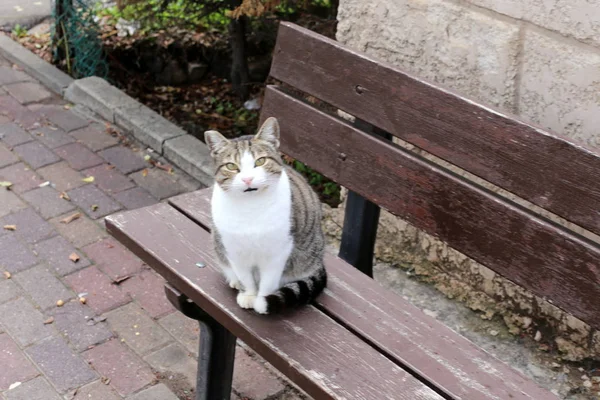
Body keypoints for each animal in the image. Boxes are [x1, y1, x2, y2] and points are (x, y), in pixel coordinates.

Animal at [205, 117, 328, 314]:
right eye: (231, 166)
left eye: (260, 161)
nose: (247, 179)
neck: (251, 208)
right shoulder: (234, 250)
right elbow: (246, 278)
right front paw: (249, 294)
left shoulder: (278, 252)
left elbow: (268, 282)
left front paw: (262, 300)